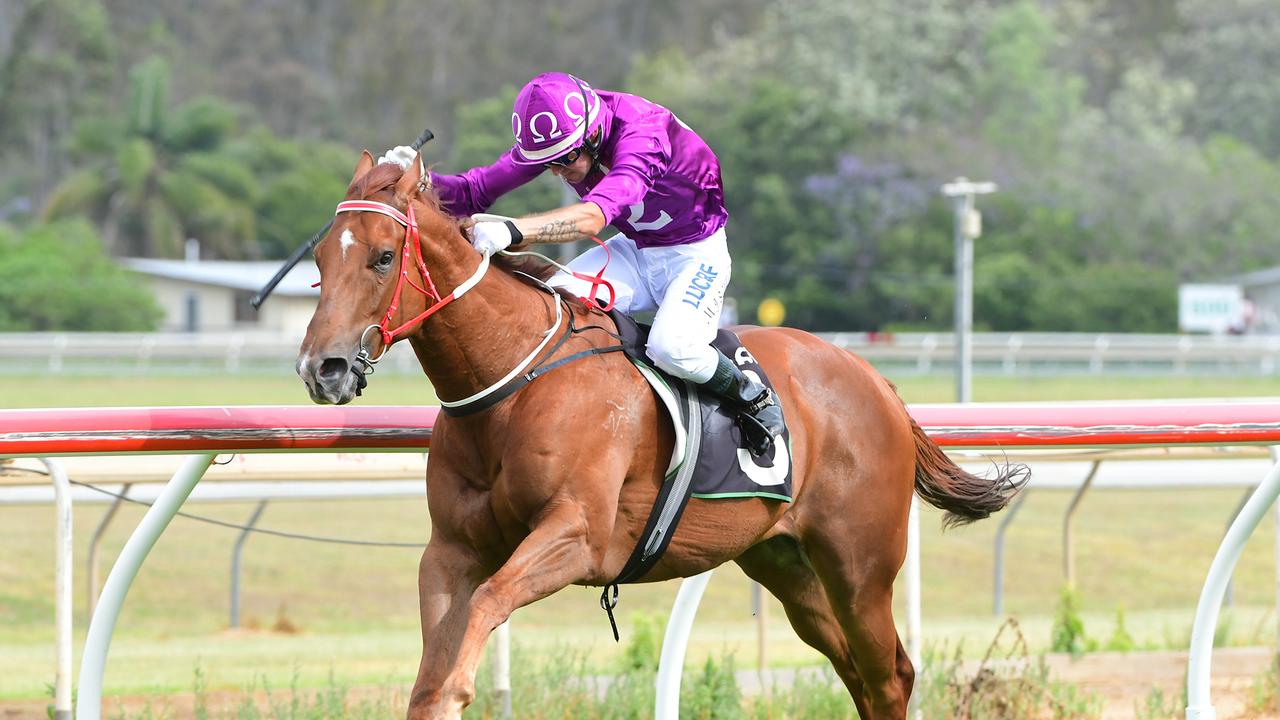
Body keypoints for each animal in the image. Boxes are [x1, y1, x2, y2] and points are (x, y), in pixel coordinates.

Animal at [294, 151, 1024, 717]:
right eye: (322, 259)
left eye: (383, 257)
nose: (321, 368)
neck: (513, 380)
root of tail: (878, 385)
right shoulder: (450, 551)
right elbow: (431, 684)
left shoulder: (576, 537)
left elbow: (483, 613)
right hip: (786, 563)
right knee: (860, 673)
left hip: (859, 564)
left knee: (888, 675)